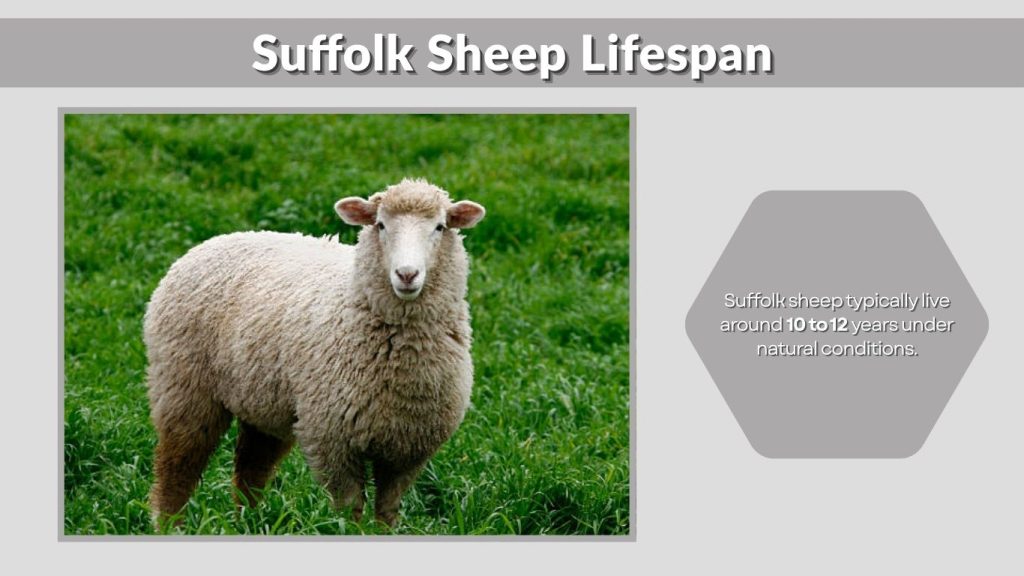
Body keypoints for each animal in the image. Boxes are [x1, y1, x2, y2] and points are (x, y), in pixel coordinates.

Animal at [143, 178, 486, 527]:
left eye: (440, 227)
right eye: (380, 224)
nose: (406, 275)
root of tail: (215, 241)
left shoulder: (407, 452)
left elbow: (386, 513)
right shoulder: (332, 440)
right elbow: (350, 511)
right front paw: (348, 531)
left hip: (262, 403)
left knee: (250, 471)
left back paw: (247, 523)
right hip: (184, 388)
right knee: (177, 469)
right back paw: (169, 525)